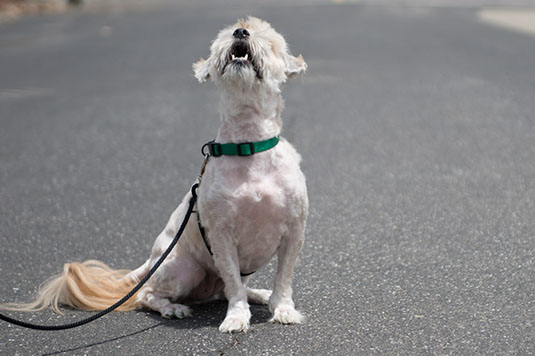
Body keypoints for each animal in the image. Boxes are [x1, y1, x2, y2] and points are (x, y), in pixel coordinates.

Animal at [0, 16, 308, 334]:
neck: (248, 148)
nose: (241, 31)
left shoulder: (294, 231)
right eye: (226, 34)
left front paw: (283, 309)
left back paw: (258, 294)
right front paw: (236, 317)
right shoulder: (221, 236)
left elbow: (283, 278)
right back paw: (172, 308)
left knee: (222, 288)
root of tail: (150, 262)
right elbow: (233, 284)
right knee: (149, 294)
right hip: (184, 268)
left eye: (269, 40)